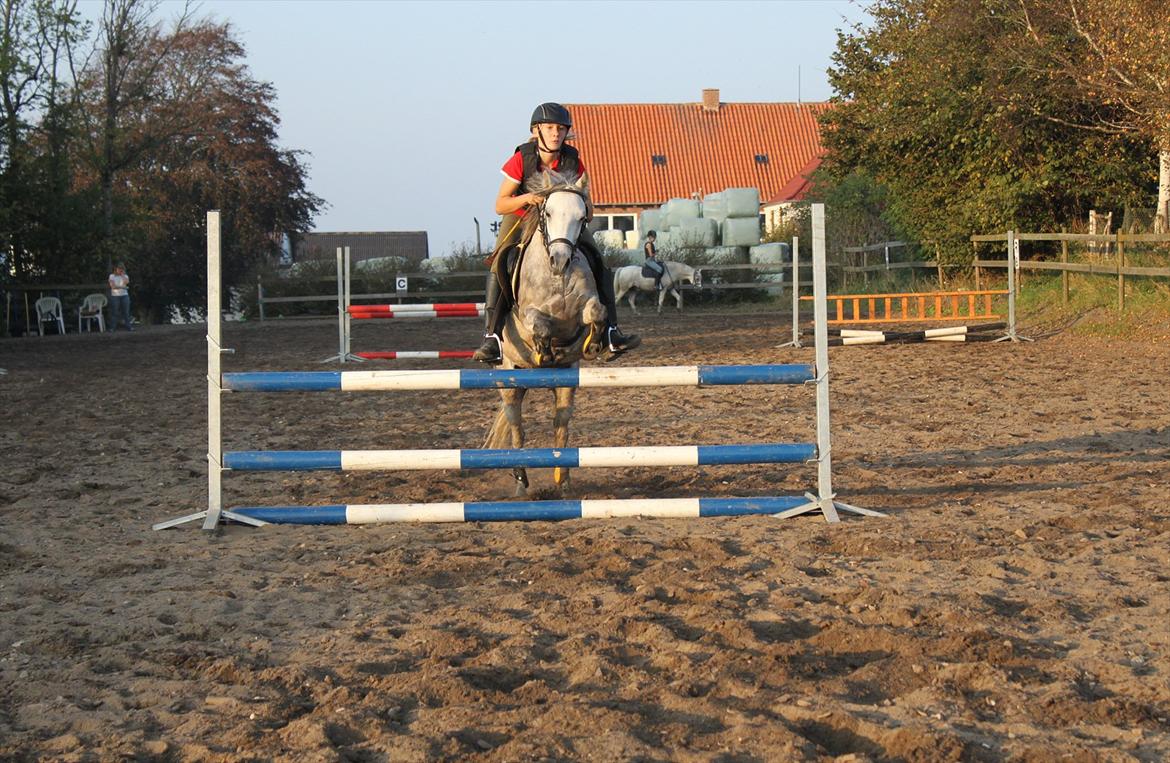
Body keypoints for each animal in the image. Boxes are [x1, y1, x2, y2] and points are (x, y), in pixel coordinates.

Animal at [483, 170, 608, 498]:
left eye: (582, 217)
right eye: (548, 212)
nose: (560, 261)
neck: (557, 279)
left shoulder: (584, 309)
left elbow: (597, 312)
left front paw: (594, 343)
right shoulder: (528, 316)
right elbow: (539, 323)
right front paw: (544, 350)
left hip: (566, 382)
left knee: (560, 422)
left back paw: (562, 480)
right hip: (509, 378)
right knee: (516, 425)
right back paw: (521, 481)